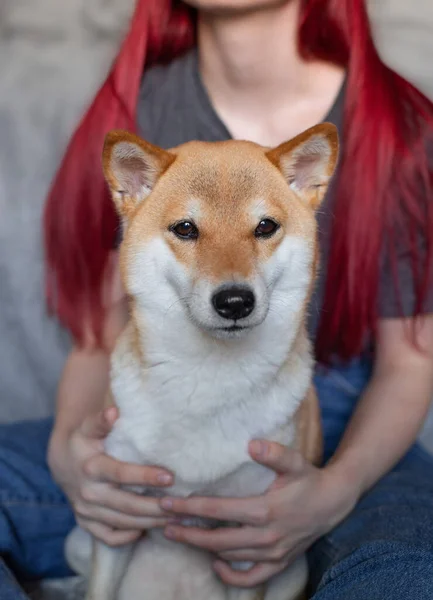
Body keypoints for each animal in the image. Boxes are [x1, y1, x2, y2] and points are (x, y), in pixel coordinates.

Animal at [66, 123, 338, 600]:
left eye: (265, 226)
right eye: (186, 228)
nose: (234, 301)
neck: (207, 377)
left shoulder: (248, 544)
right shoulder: (116, 522)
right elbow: (99, 587)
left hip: (292, 571)